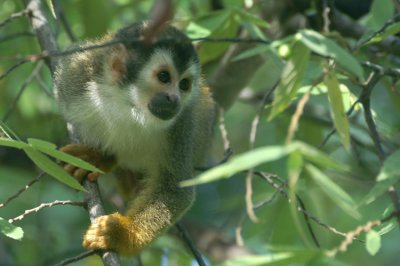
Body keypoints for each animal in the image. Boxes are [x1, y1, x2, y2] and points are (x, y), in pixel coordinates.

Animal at [54, 21, 216, 255]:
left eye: (184, 84)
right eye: (164, 77)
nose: (175, 98)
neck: (129, 104)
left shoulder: (182, 123)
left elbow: (175, 190)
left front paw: (119, 234)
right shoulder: (75, 75)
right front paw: (95, 155)